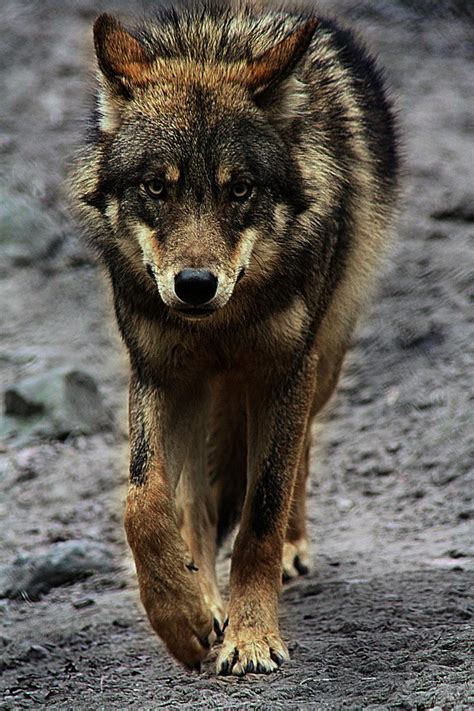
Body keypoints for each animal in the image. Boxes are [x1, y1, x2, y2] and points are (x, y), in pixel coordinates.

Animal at [70, 1, 399, 676]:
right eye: (157, 186)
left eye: (239, 188)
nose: (195, 286)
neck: (219, 324)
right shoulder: (160, 373)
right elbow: (145, 505)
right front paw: (187, 618)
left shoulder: (283, 372)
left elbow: (260, 514)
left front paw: (251, 638)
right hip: (205, 392)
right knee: (194, 503)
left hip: (321, 364)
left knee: (299, 450)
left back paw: (292, 550)